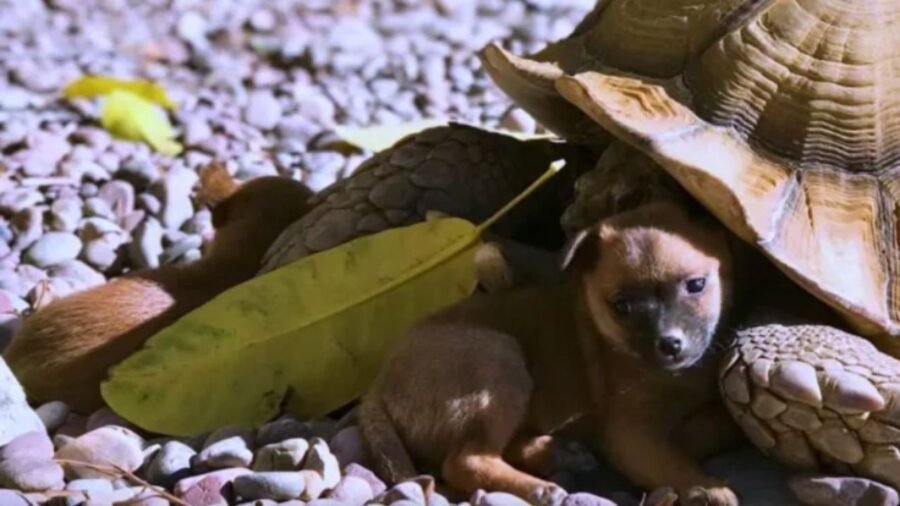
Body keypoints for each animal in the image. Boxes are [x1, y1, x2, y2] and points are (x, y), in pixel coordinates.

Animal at [362, 202, 740, 506]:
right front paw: (706, 486)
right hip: (499, 362)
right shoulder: (629, 432)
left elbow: (716, 423)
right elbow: (673, 461)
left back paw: (559, 455)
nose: (669, 343)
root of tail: (377, 389)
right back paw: (540, 487)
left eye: (696, 285)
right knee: (466, 461)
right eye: (622, 305)